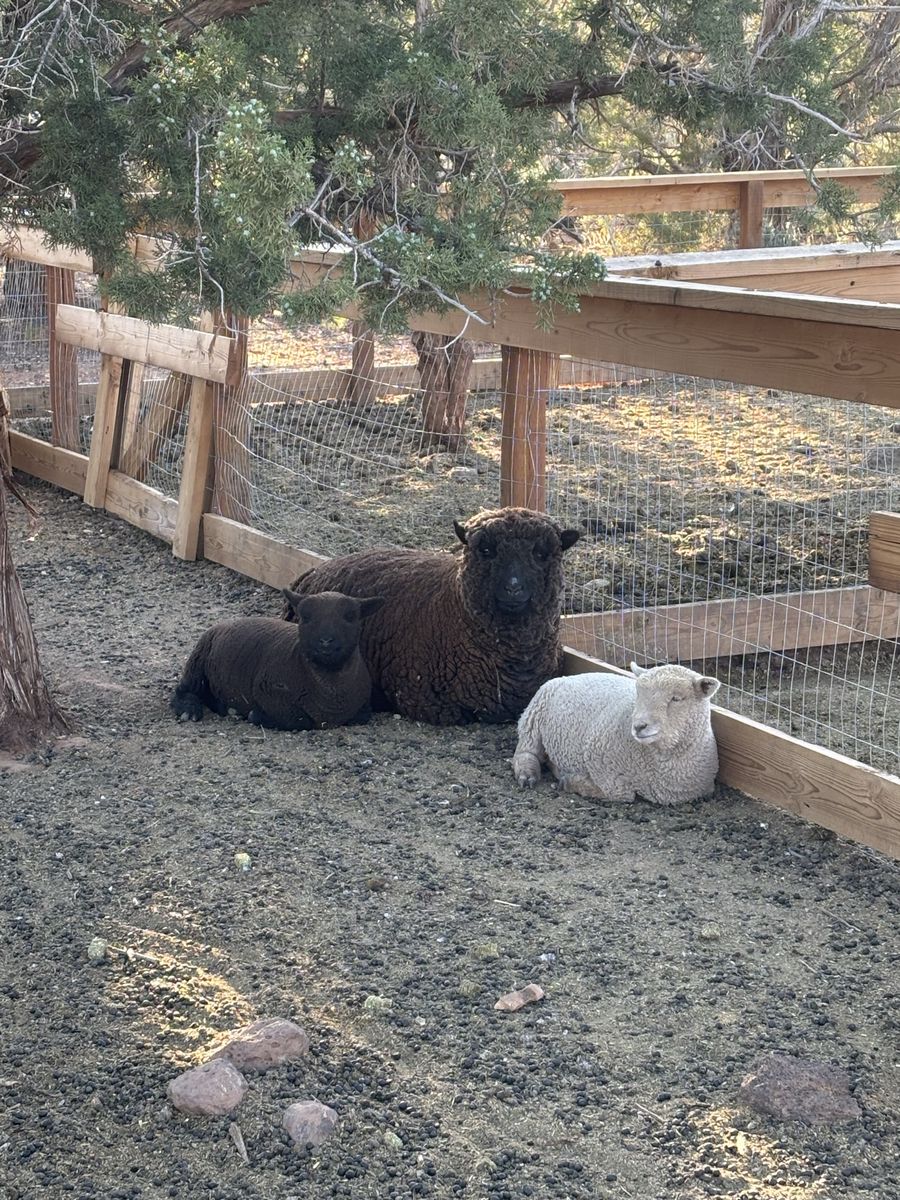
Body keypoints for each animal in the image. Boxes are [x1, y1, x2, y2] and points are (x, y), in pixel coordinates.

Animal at [171, 591, 384, 730]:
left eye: (350, 616)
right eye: (305, 617)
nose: (325, 641)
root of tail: (226, 622)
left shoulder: (365, 707)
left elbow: (362, 716)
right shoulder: (267, 691)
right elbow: (301, 721)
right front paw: (257, 715)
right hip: (198, 661)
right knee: (184, 689)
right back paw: (189, 709)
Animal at [512, 662, 721, 805]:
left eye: (676, 698)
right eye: (639, 693)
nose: (639, 726)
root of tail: (569, 676)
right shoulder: (597, 757)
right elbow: (622, 793)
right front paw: (571, 782)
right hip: (533, 718)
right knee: (525, 752)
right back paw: (527, 774)